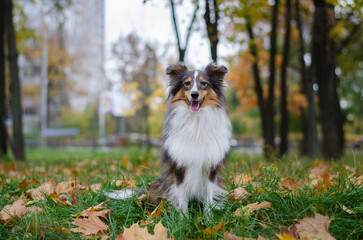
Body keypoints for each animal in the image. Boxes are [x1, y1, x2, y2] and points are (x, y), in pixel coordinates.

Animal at [105, 62, 232, 214]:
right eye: (187, 84)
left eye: (204, 83)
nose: (194, 94)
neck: (195, 120)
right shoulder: (179, 168)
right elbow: (182, 199)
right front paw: (184, 218)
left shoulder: (210, 168)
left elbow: (208, 197)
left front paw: (208, 218)